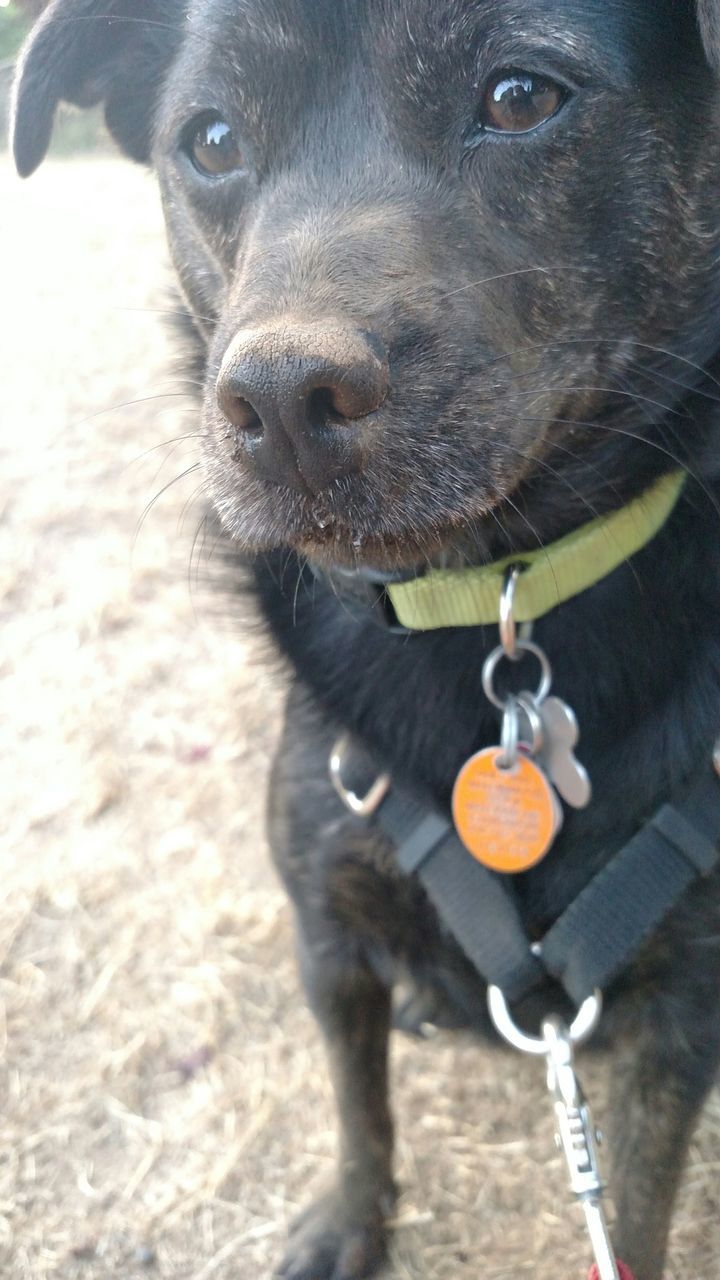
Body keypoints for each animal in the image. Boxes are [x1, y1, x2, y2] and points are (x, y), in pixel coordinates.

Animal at [9, 5, 717, 1274]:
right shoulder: (327, 925)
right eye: (212, 138)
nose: (283, 399)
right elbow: (359, 1105)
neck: (484, 604)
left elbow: (630, 1210)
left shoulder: (680, 1014)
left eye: (522, 96)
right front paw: (349, 1220)